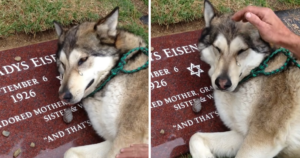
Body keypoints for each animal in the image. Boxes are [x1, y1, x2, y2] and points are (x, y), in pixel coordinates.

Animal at [53, 7, 149, 158]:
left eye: (82, 60)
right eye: (62, 64)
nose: (63, 96)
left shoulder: (127, 139)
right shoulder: (113, 140)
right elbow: (69, 151)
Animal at [190, 0, 300, 157]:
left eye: (242, 50)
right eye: (217, 48)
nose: (222, 83)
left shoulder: (261, 139)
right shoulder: (242, 134)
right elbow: (195, 137)